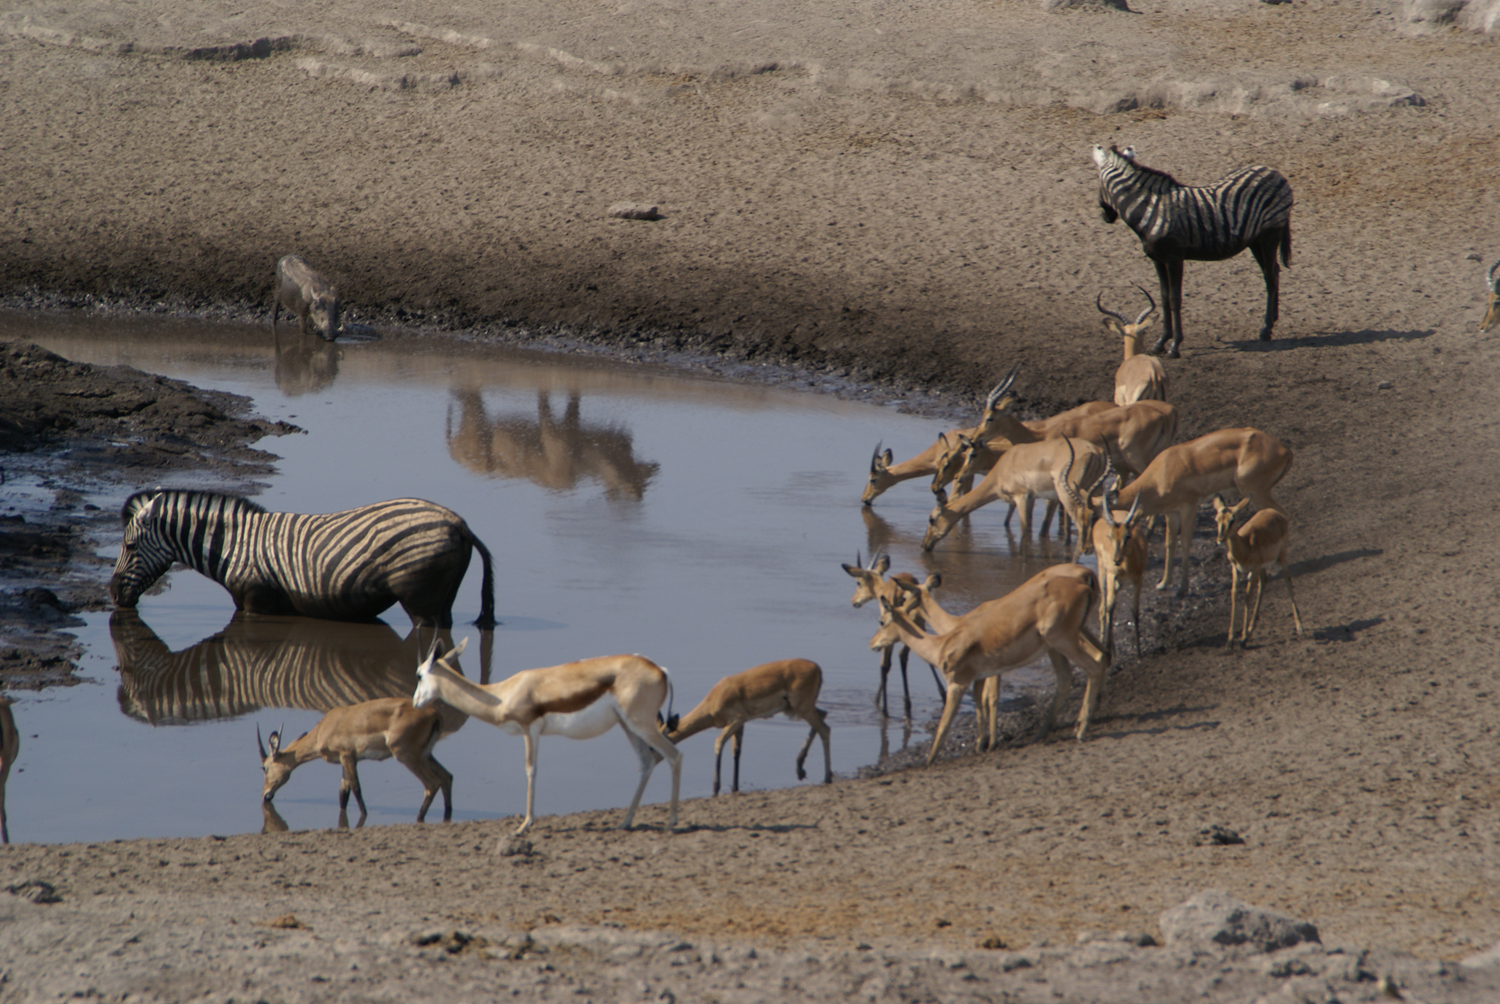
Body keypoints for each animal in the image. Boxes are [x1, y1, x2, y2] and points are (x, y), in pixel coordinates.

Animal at [114, 486, 498, 627]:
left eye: (129, 547)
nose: (113, 594)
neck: (234, 544)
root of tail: (458, 523)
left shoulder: (257, 600)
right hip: (442, 599)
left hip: (420, 599)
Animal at [1092, 142, 1290, 355]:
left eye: (1098, 185)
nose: (1106, 217)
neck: (1150, 210)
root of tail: (1273, 171)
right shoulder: (1157, 260)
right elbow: (1164, 298)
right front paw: (1161, 342)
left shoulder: (1174, 258)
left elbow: (1175, 299)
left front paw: (1175, 345)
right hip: (1255, 241)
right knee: (1274, 271)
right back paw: (1273, 320)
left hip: (1271, 234)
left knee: (1270, 277)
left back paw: (1265, 329)